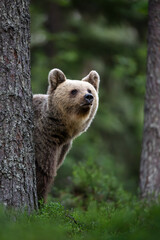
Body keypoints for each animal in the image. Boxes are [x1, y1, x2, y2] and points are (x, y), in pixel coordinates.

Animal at [32, 68, 100, 202]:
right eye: (74, 90)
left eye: (89, 90)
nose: (89, 97)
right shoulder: (43, 141)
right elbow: (44, 171)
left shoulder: (62, 148)